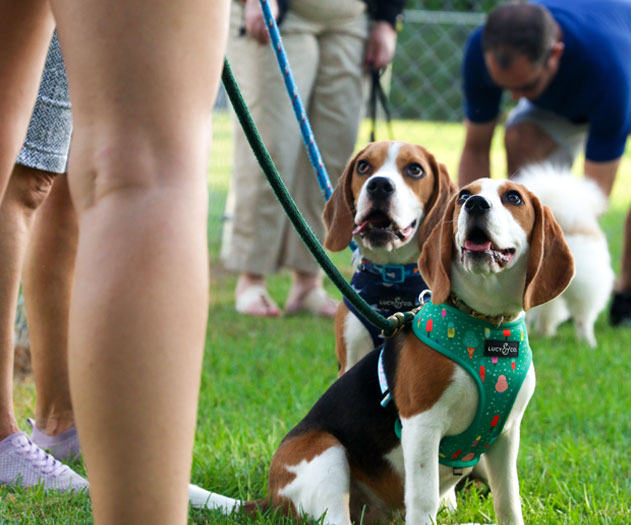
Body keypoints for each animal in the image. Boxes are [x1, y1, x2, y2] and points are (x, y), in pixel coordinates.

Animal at [258, 178, 576, 520]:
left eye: (514, 198)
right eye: (463, 196)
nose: (475, 204)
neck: (485, 325)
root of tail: (270, 498)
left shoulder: (505, 434)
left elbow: (508, 501)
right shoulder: (422, 425)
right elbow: (423, 500)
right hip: (327, 453)